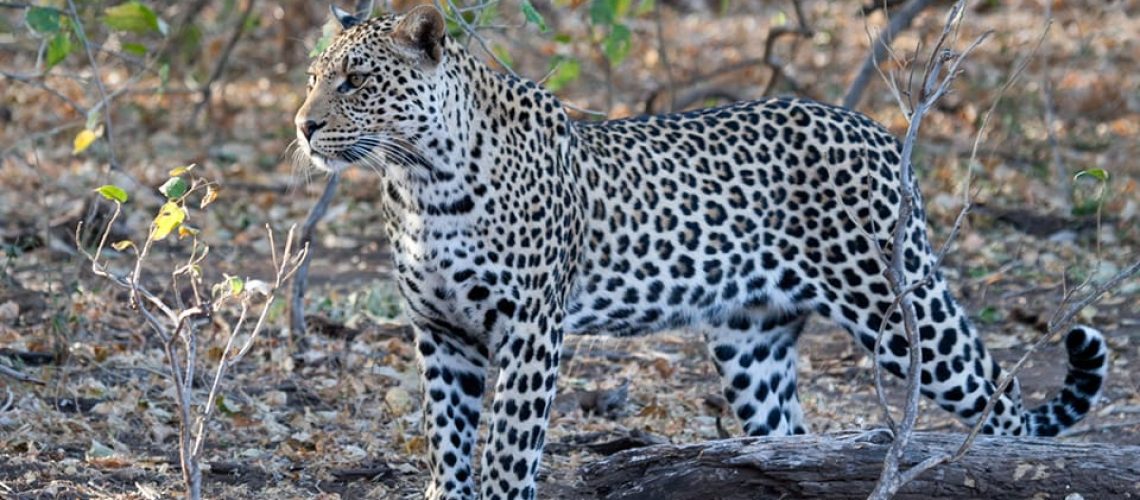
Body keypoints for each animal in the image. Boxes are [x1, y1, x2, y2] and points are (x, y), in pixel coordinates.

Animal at [293, 5, 1109, 499]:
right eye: (312, 77)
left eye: (356, 81)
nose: (303, 125)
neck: (417, 181)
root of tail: (877, 132)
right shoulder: (442, 332)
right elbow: (448, 440)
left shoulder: (527, 330)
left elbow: (508, 450)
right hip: (753, 342)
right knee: (795, 441)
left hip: (902, 313)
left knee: (1001, 416)